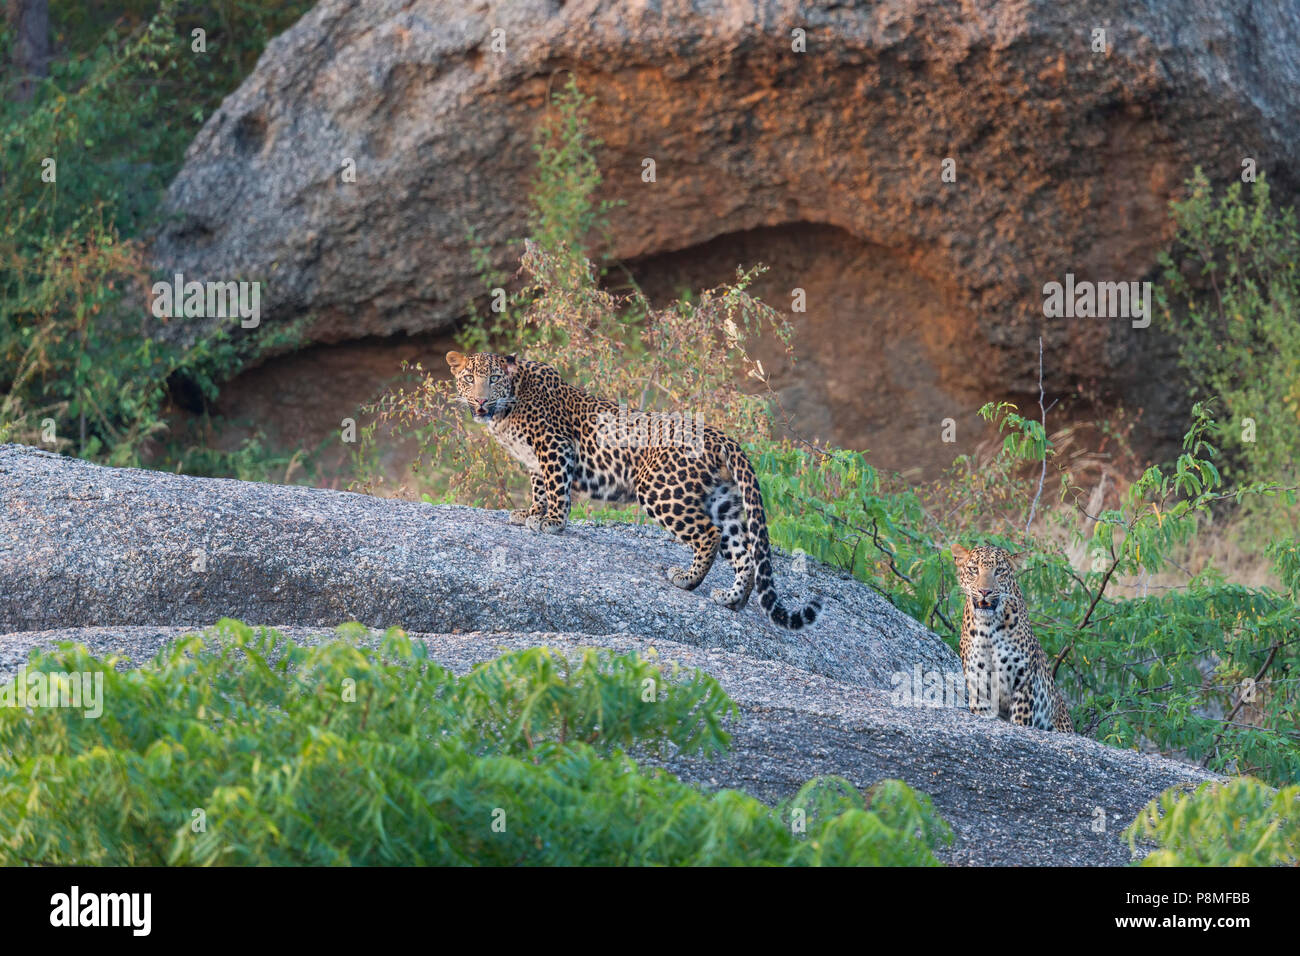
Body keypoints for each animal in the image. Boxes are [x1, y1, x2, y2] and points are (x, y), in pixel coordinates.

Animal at [447, 348, 821, 632]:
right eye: (468, 379)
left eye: (494, 379)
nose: (480, 400)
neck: (508, 406)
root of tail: (720, 436)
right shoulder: (534, 459)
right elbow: (539, 486)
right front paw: (531, 512)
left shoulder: (554, 446)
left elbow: (555, 486)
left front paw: (552, 522)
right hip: (723, 500)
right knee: (744, 551)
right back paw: (731, 600)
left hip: (660, 489)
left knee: (709, 534)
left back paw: (687, 579)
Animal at [951, 546, 1071, 733]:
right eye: (973, 569)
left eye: (999, 571)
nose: (984, 591)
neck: (988, 628)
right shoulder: (977, 681)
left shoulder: (1023, 680)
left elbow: (1021, 718)